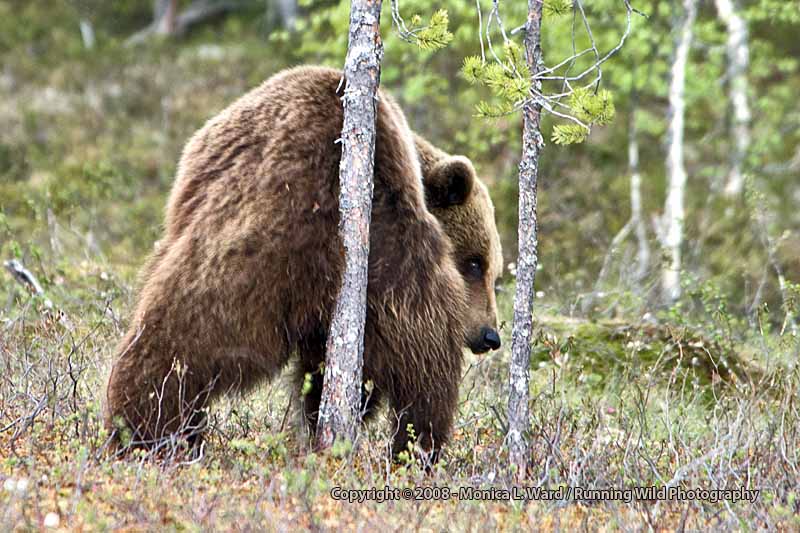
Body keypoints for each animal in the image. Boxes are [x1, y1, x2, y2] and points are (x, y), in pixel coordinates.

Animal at [105, 65, 503, 460]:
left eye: (494, 272)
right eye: (474, 263)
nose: (490, 335)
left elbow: (328, 369)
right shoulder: (391, 240)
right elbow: (421, 352)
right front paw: (415, 443)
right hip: (273, 235)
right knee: (188, 329)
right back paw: (144, 428)